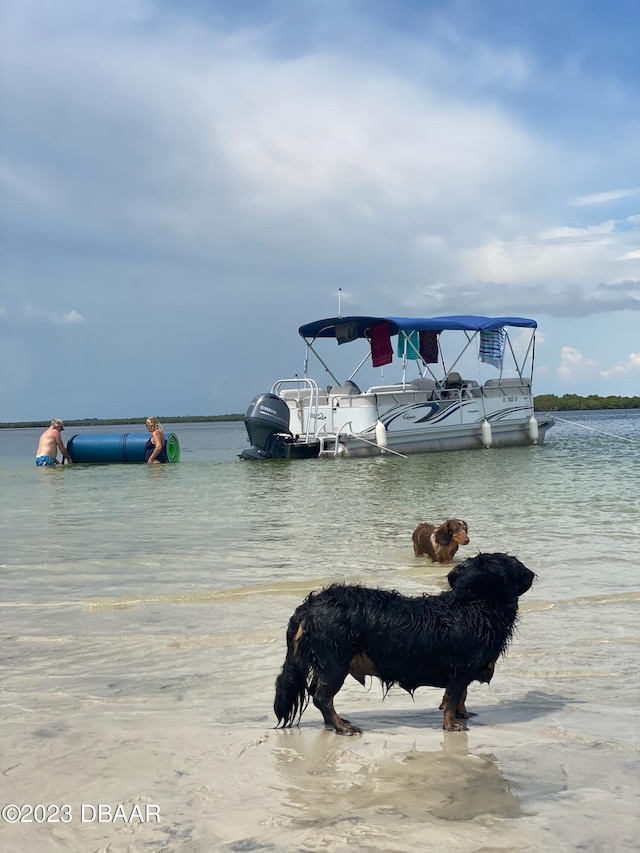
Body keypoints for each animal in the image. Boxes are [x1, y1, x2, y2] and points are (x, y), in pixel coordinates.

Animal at [276, 552, 536, 732]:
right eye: (514, 567)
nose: (531, 575)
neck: (475, 606)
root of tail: (311, 605)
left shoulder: (463, 672)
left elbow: (460, 696)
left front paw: (463, 714)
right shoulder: (462, 669)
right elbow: (452, 698)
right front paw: (451, 724)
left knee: (316, 692)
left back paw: (334, 723)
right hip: (335, 662)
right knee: (321, 697)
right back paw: (342, 727)